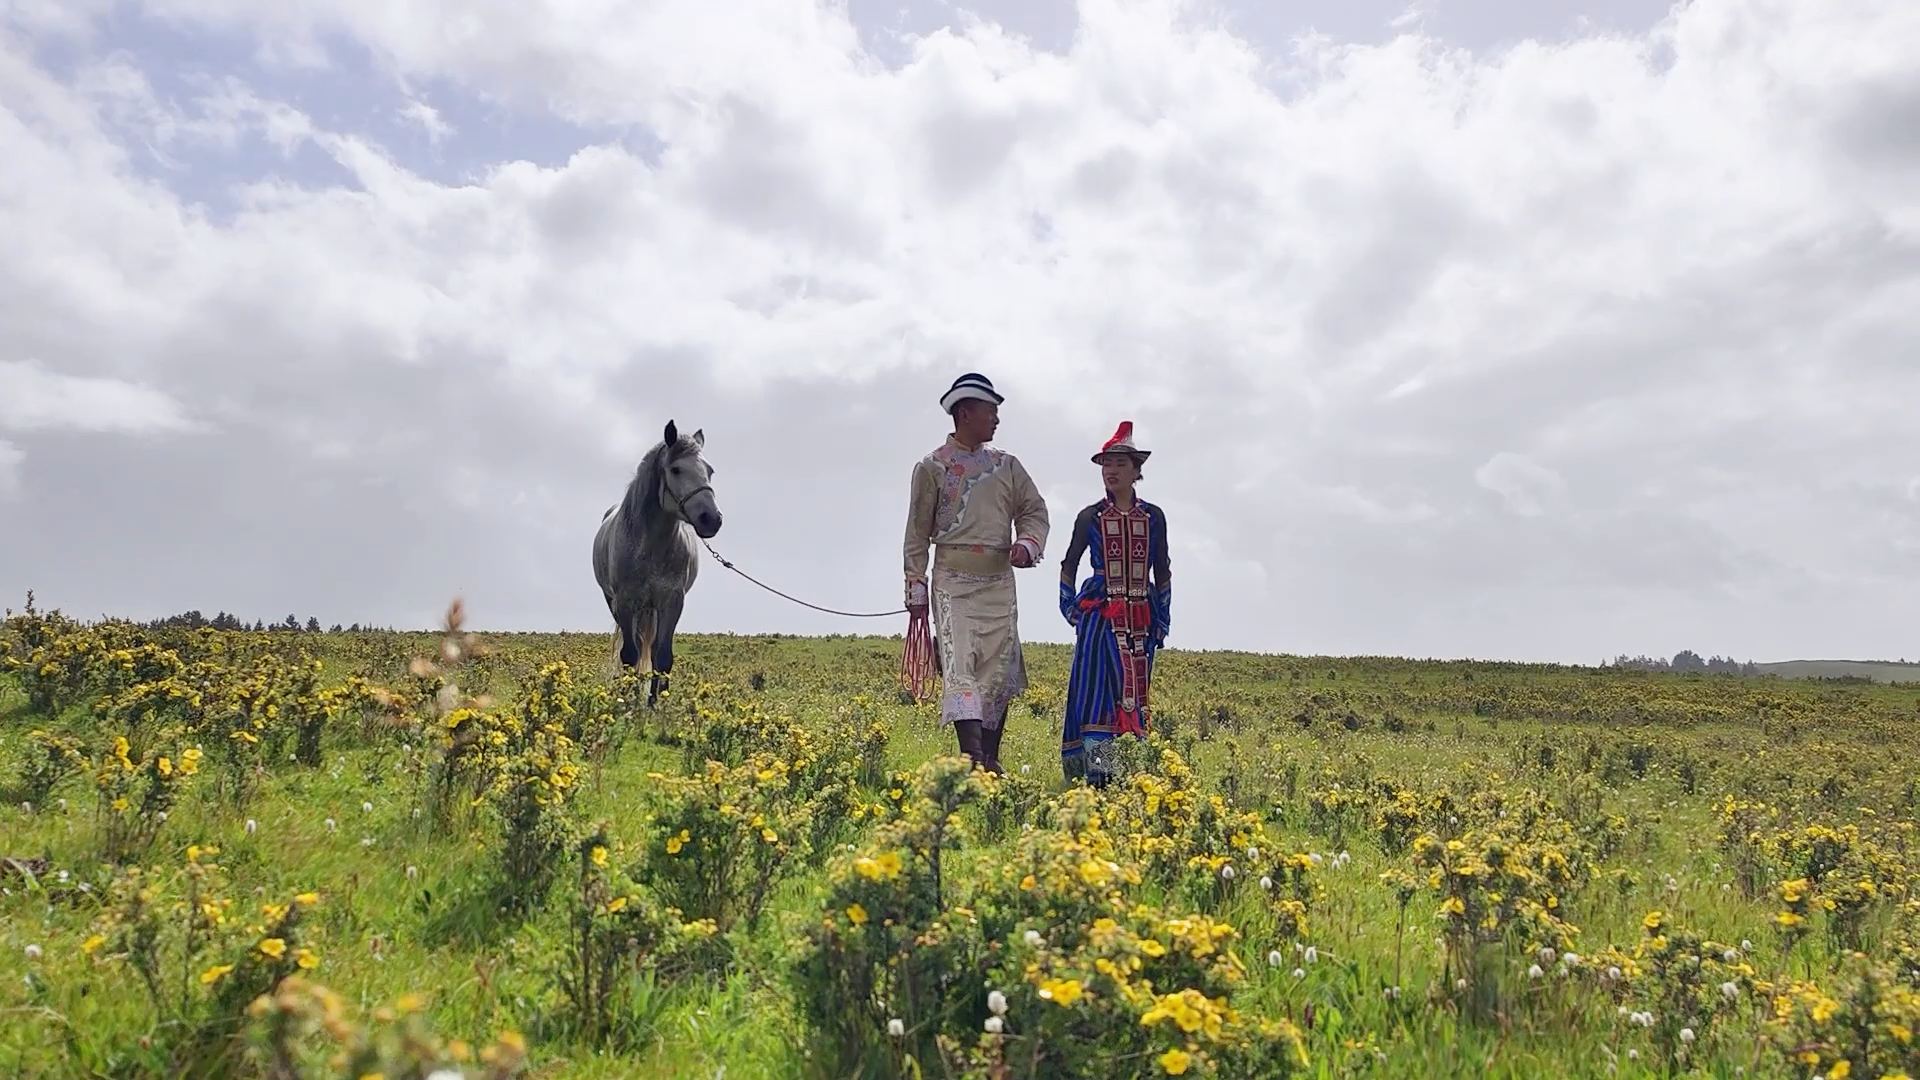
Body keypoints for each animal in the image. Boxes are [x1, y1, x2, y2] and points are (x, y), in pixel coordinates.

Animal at [587, 420, 721, 707]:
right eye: (676, 469)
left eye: (709, 471)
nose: (712, 519)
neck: (650, 546)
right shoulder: (626, 602)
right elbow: (630, 655)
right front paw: (627, 701)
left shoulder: (672, 602)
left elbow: (663, 656)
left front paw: (656, 703)